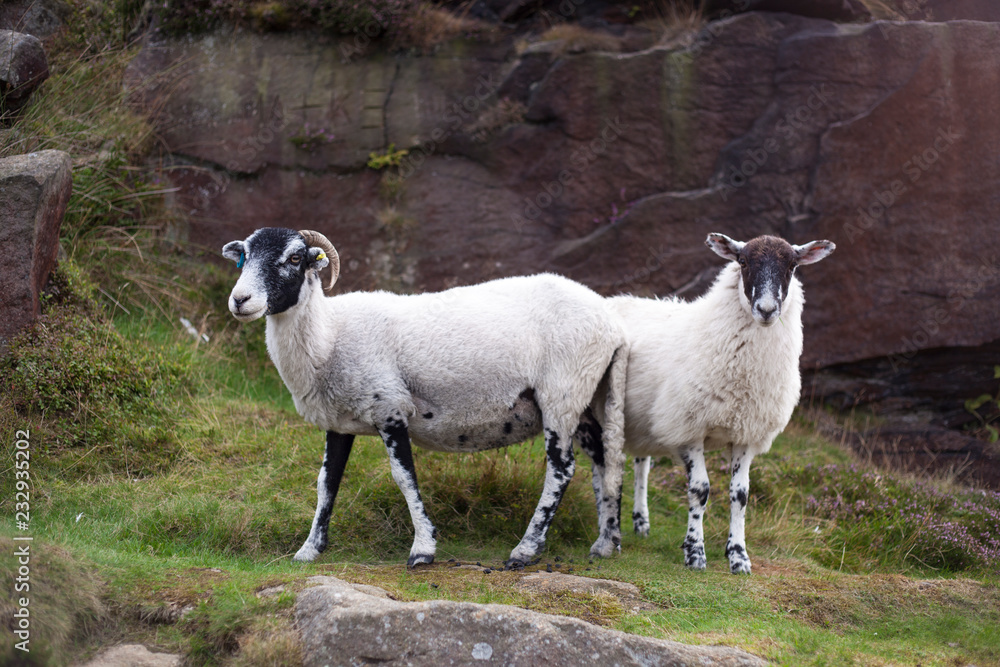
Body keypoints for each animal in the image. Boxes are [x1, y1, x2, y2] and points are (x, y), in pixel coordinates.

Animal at [222, 227, 628, 568]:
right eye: (243, 258)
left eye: (294, 258)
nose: (240, 300)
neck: (329, 335)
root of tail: (613, 324)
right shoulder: (339, 423)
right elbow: (326, 483)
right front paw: (309, 550)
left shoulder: (391, 409)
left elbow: (404, 478)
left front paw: (423, 549)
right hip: (587, 397)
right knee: (604, 461)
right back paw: (606, 543)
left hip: (561, 393)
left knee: (562, 469)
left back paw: (525, 550)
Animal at [613, 233, 834, 574]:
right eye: (742, 261)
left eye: (792, 265)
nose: (766, 310)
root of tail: (617, 299)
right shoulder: (689, 426)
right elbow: (700, 490)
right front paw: (695, 552)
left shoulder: (746, 432)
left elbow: (740, 495)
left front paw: (739, 556)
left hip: (645, 419)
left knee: (641, 464)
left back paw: (641, 523)